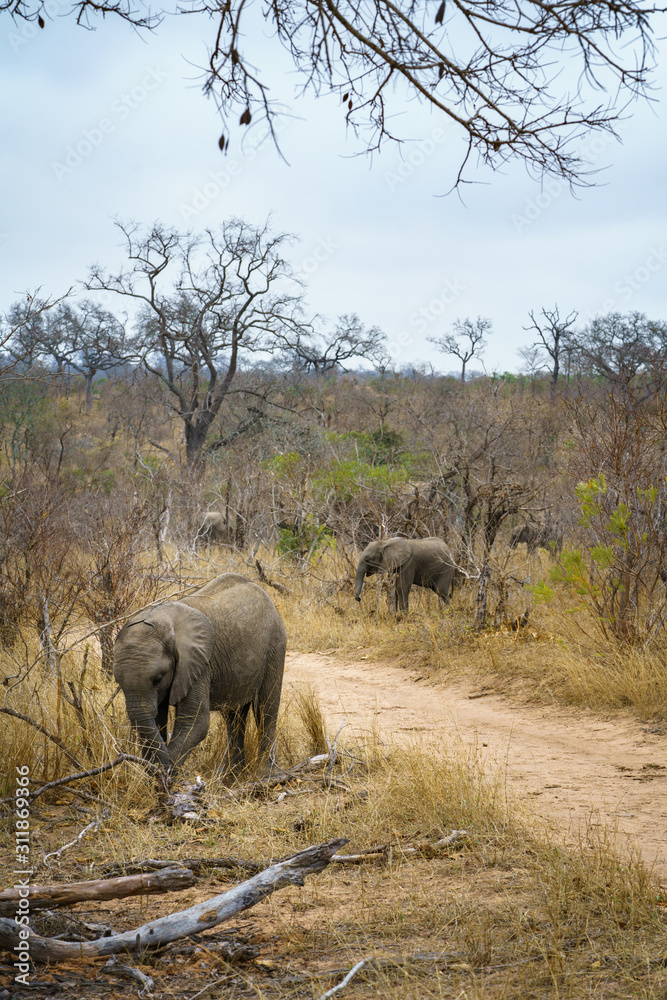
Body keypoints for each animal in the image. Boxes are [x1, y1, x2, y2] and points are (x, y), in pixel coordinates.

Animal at [113, 573, 287, 777]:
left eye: (157, 680)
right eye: (118, 681)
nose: (161, 770)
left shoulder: (198, 664)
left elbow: (195, 723)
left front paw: (167, 778)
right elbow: (157, 720)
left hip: (275, 644)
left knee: (266, 708)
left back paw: (267, 775)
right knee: (234, 715)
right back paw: (230, 778)